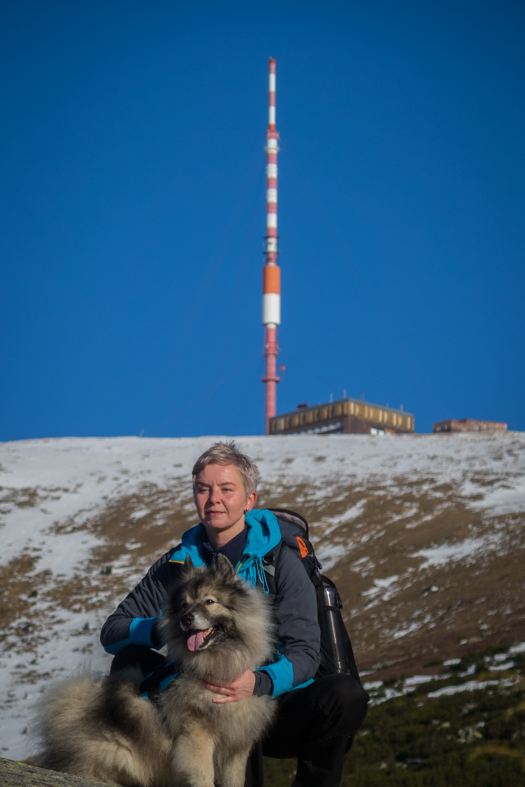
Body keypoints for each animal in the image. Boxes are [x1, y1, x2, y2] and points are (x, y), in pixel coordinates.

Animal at [34, 556, 276, 787]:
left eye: (209, 601)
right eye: (183, 605)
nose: (186, 619)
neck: (220, 661)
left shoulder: (237, 744)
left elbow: (235, 779)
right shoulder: (197, 734)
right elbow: (203, 775)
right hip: (119, 750)